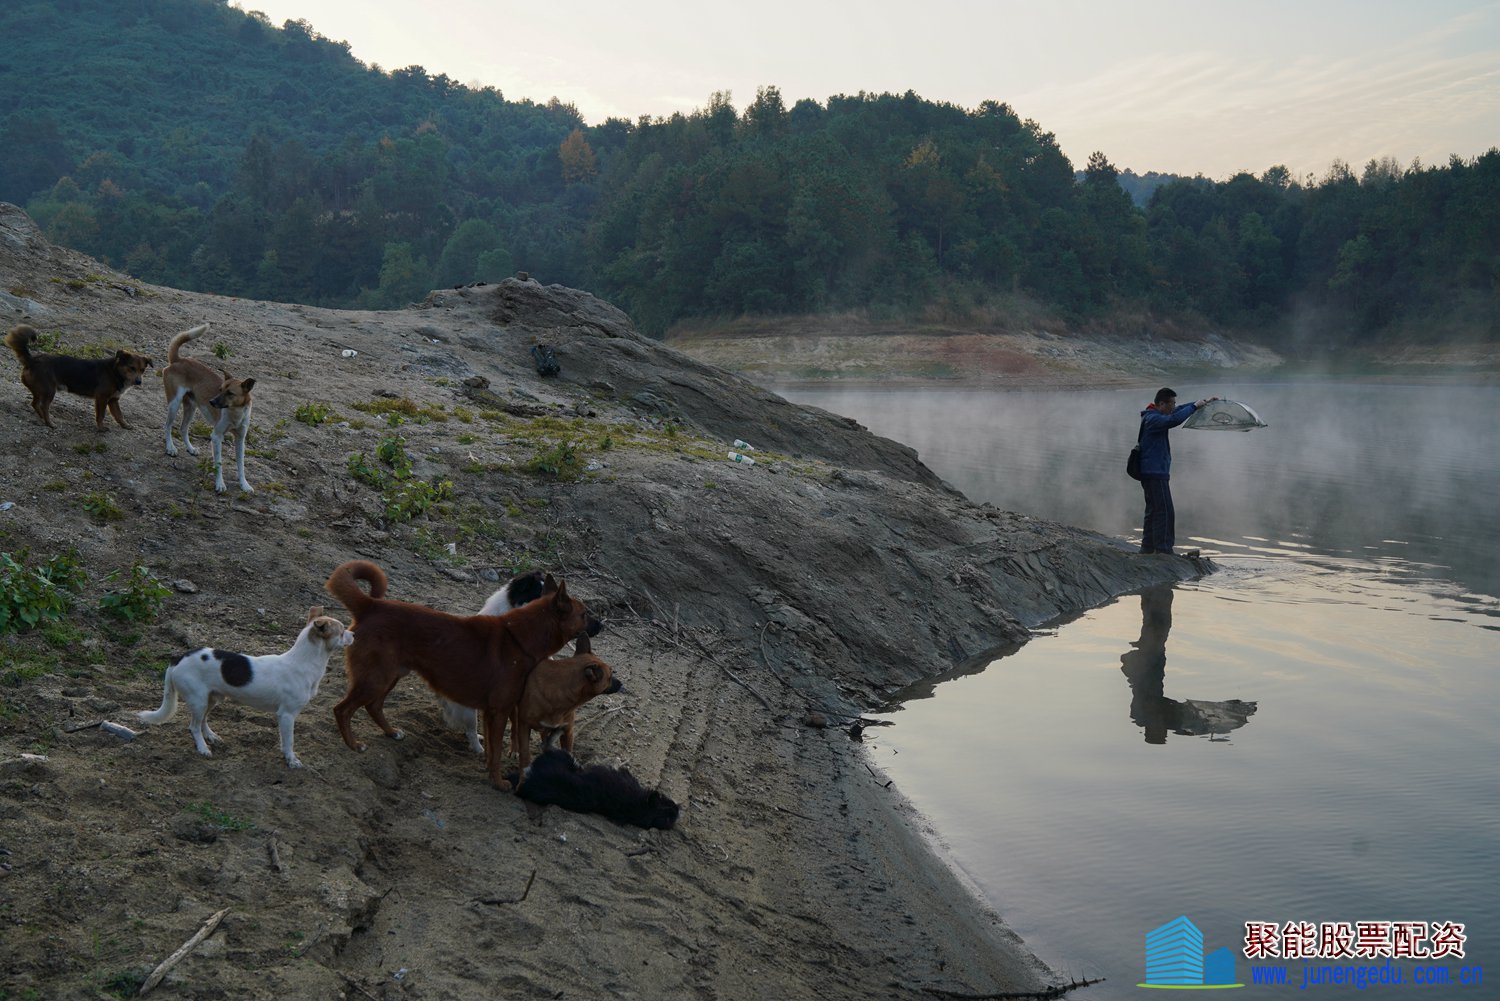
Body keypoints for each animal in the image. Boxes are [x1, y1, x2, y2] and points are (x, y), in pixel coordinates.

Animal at [6, 322, 153, 429]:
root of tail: (32, 360)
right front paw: (101, 428)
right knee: (43, 406)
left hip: (40, 390)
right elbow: (101, 415)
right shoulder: (102, 398)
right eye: (131, 368)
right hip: (49, 391)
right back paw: (50, 423)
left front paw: (125, 425)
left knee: (34, 403)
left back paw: (42, 418)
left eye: (142, 370)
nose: (139, 382)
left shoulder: (113, 400)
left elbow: (119, 415)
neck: (116, 372)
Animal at [137, 612, 354, 768]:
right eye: (342, 631)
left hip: (212, 699)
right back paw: (202, 747)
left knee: (203, 721)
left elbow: (285, 741)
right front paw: (291, 760)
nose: (355, 634)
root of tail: (178, 659)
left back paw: (211, 737)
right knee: (193, 727)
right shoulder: (287, 715)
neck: (303, 661)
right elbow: (289, 741)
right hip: (199, 700)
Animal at [162, 321, 256, 492]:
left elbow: (241, 465)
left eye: (230, 393)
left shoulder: (240, 440)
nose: (212, 402)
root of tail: (179, 360)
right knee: (168, 425)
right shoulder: (216, 436)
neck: (235, 413)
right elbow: (219, 463)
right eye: (220, 389)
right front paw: (220, 484)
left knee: (183, 428)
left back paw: (190, 448)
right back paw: (170, 448)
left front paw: (244, 485)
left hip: (191, 408)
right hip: (174, 404)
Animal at [327, 561, 597, 786]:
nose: (601, 624)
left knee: (373, 706)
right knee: (342, 709)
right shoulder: (499, 711)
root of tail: (370, 605)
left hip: (388, 677)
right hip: (374, 679)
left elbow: (491, 749)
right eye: (584, 614)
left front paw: (488, 770)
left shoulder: (491, 712)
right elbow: (496, 752)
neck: (520, 638)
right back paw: (354, 745)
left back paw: (391, 732)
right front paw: (499, 783)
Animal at [507, 630, 618, 780]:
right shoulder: (525, 726)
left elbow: (567, 751)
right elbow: (525, 757)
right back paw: (514, 749)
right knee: (514, 728)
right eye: (610, 677)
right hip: (513, 711)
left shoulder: (567, 731)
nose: (621, 684)